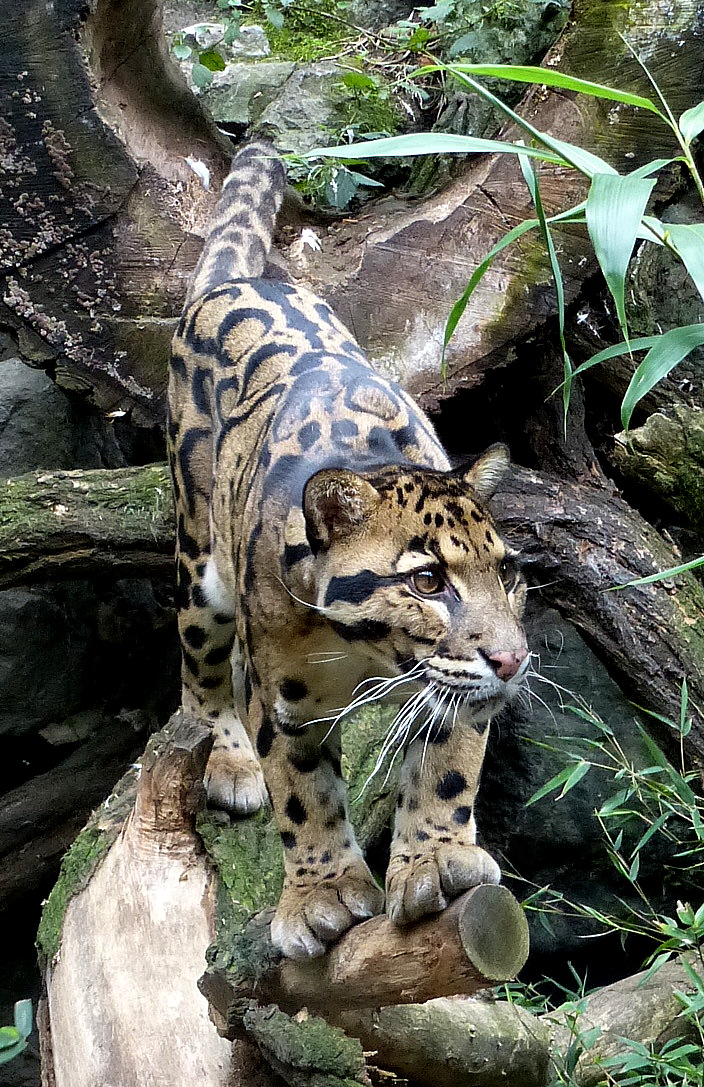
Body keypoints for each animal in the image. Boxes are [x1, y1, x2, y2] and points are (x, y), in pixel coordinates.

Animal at [168, 140, 529, 960]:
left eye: (505, 572)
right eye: (427, 581)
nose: (513, 659)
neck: (364, 652)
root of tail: (235, 280)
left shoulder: (452, 692)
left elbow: (449, 770)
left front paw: (437, 859)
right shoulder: (283, 702)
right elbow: (301, 793)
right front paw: (323, 893)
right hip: (200, 566)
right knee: (200, 673)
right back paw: (227, 758)